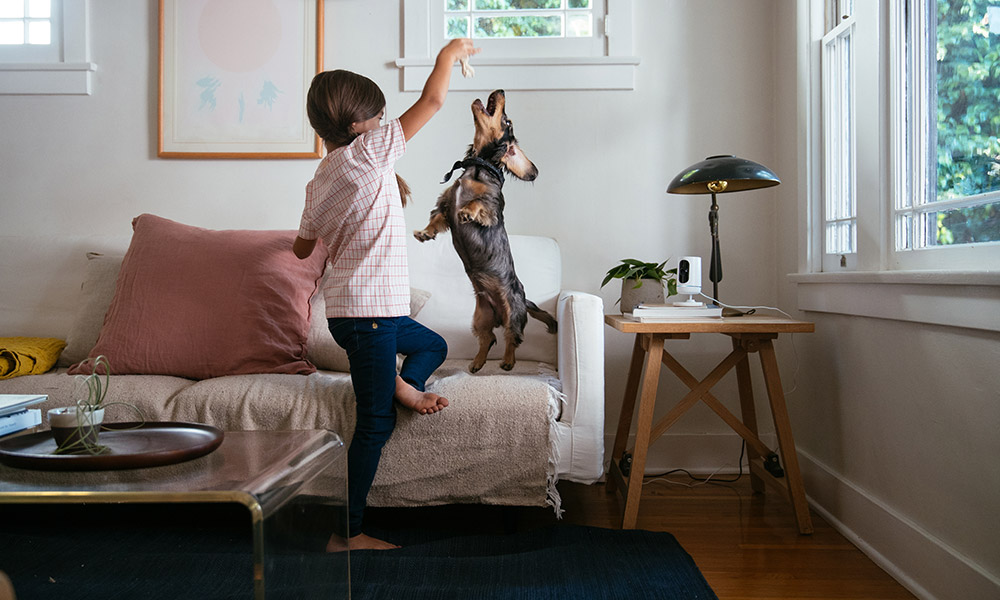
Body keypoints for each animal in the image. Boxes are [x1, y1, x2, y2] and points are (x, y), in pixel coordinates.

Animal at [412, 89, 556, 372]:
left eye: (508, 121)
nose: (500, 91)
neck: (478, 167)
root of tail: (523, 299)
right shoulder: (444, 205)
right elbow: (436, 219)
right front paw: (424, 233)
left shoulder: (491, 207)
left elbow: (477, 203)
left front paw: (466, 212)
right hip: (481, 315)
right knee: (488, 339)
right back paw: (477, 363)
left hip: (513, 312)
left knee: (512, 338)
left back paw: (508, 362)